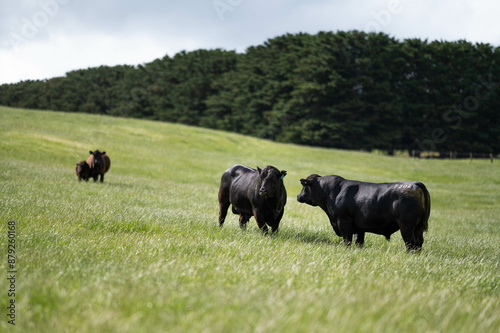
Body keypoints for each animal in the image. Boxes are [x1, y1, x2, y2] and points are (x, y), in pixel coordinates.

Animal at [296, 174, 430, 249]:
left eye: (304, 186)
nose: (298, 196)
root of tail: (415, 184)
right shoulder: (359, 228)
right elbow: (359, 242)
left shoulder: (343, 222)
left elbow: (347, 241)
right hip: (419, 227)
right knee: (419, 243)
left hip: (406, 226)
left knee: (411, 243)